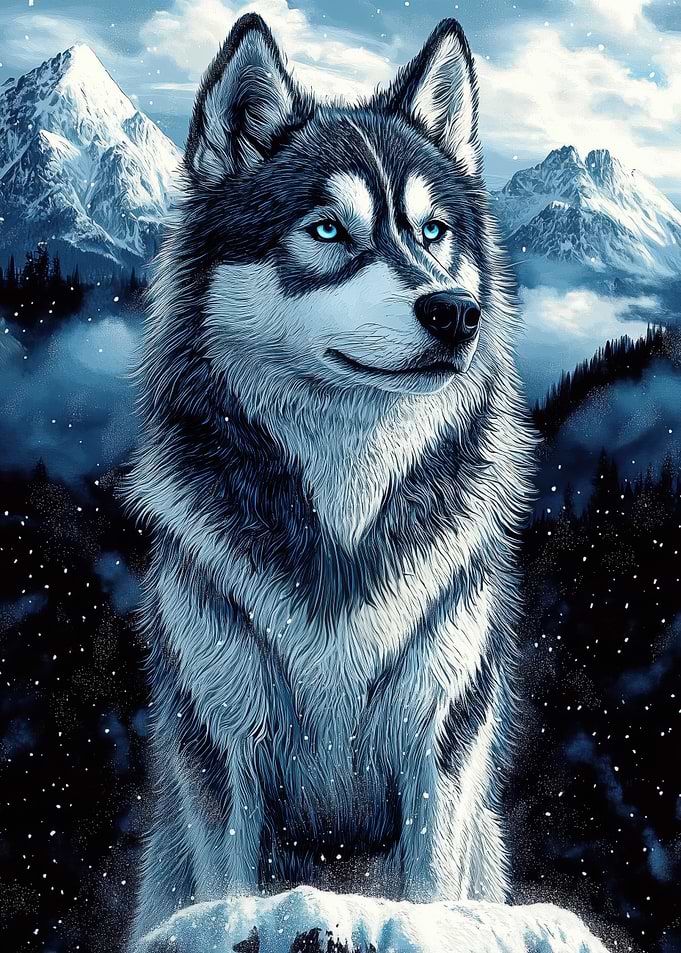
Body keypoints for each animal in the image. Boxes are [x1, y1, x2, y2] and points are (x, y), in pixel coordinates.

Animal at [126, 13, 536, 949]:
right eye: (325, 231)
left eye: (431, 232)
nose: (455, 311)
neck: (344, 508)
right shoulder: (224, 747)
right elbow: (233, 888)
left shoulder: (438, 745)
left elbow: (427, 895)